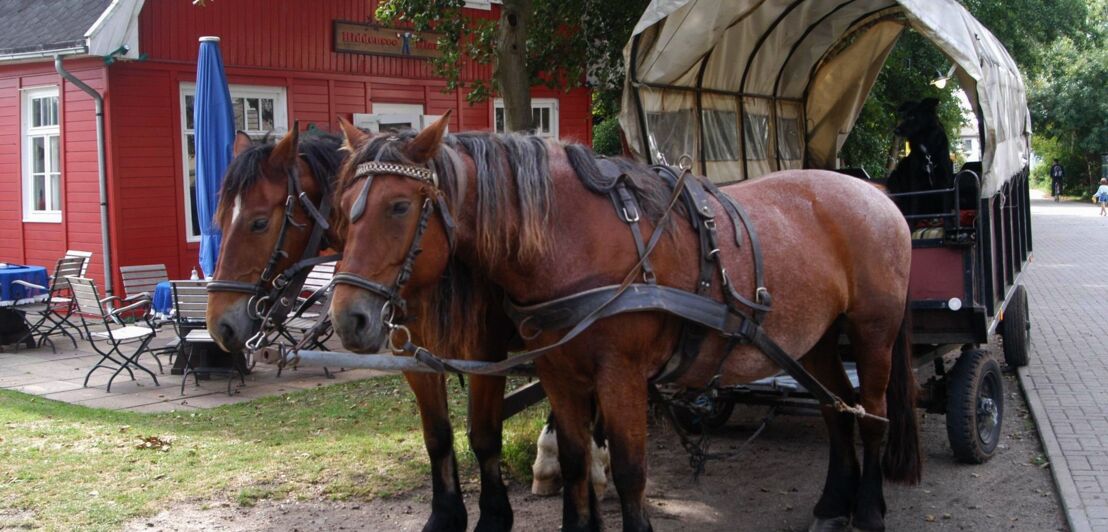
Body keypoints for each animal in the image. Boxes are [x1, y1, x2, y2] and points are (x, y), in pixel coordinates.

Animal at [204, 122, 518, 529]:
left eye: (259, 222)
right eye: (222, 219)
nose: (219, 325)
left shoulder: (487, 355)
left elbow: (484, 436)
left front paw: (495, 516)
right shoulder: (414, 357)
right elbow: (437, 436)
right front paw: (446, 515)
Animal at [332, 115, 921, 532]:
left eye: (400, 206)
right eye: (344, 207)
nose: (347, 318)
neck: (575, 239)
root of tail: (876, 193)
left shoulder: (617, 376)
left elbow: (630, 471)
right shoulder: (557, 372)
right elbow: (571, 461)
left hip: (873, 332)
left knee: (872, 414)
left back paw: (869, 510)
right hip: (812, 340)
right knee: (835, 410)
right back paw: (832, 504)